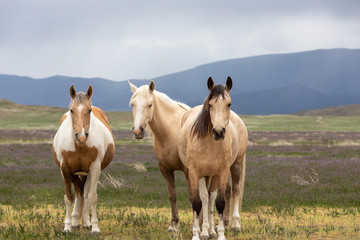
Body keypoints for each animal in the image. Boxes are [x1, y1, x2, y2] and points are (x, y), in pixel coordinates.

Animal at [51, 84, 114, 232]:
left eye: (89, 110)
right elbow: (69, 197)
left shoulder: (95, 168)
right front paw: (67, 227)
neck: (79, 146)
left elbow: (92, 197)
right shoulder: (65, 170)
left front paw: (95, 228)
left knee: (84, 192)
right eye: (71, 110)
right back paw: (75, 221)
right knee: (79, 191)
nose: (81, 136)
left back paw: (85, 221)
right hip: (75, 173)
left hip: (87, 172)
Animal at [129, 80, 193, 232]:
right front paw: (174, 225)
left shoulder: (188, 170)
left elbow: (193, 197)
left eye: (150, 104)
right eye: (133, 104)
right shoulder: (165, 169)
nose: (137, 131)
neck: (172, 132)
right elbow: (172, 196)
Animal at [179, 77, 249, 240]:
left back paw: (235, 225)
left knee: (235, 190)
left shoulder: (222, 172)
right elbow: (198, 202)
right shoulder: (195, 172)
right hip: (208, 174)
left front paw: (221, 234)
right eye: (210, 104)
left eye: (229, 104)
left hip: (235, 165)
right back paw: (208, 230)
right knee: (208, 197)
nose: (218, 132)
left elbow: (220, 202)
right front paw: (197, 234)